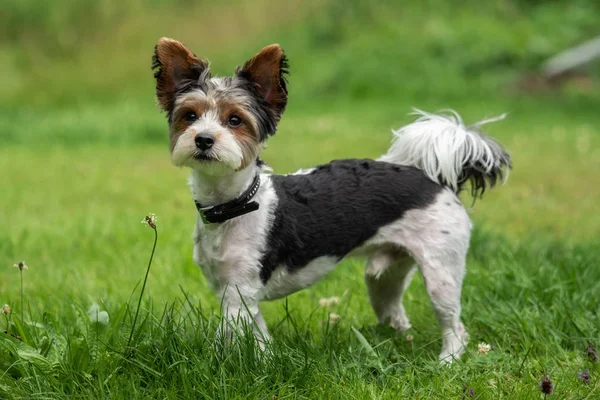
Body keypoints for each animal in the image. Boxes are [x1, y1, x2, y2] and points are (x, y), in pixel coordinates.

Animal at [151, 38, 510, 362]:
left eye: (235, 120)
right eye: (190, 116)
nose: (203, 139)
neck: (233, 205)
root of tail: (435, 178)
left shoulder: (238, 294)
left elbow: (226, 337)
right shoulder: (237, 294)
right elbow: (258, 338)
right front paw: (266, 362)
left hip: (441, 272)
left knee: (454, 326)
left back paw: (448, 361)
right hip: (384, 276)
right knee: (395, 312)